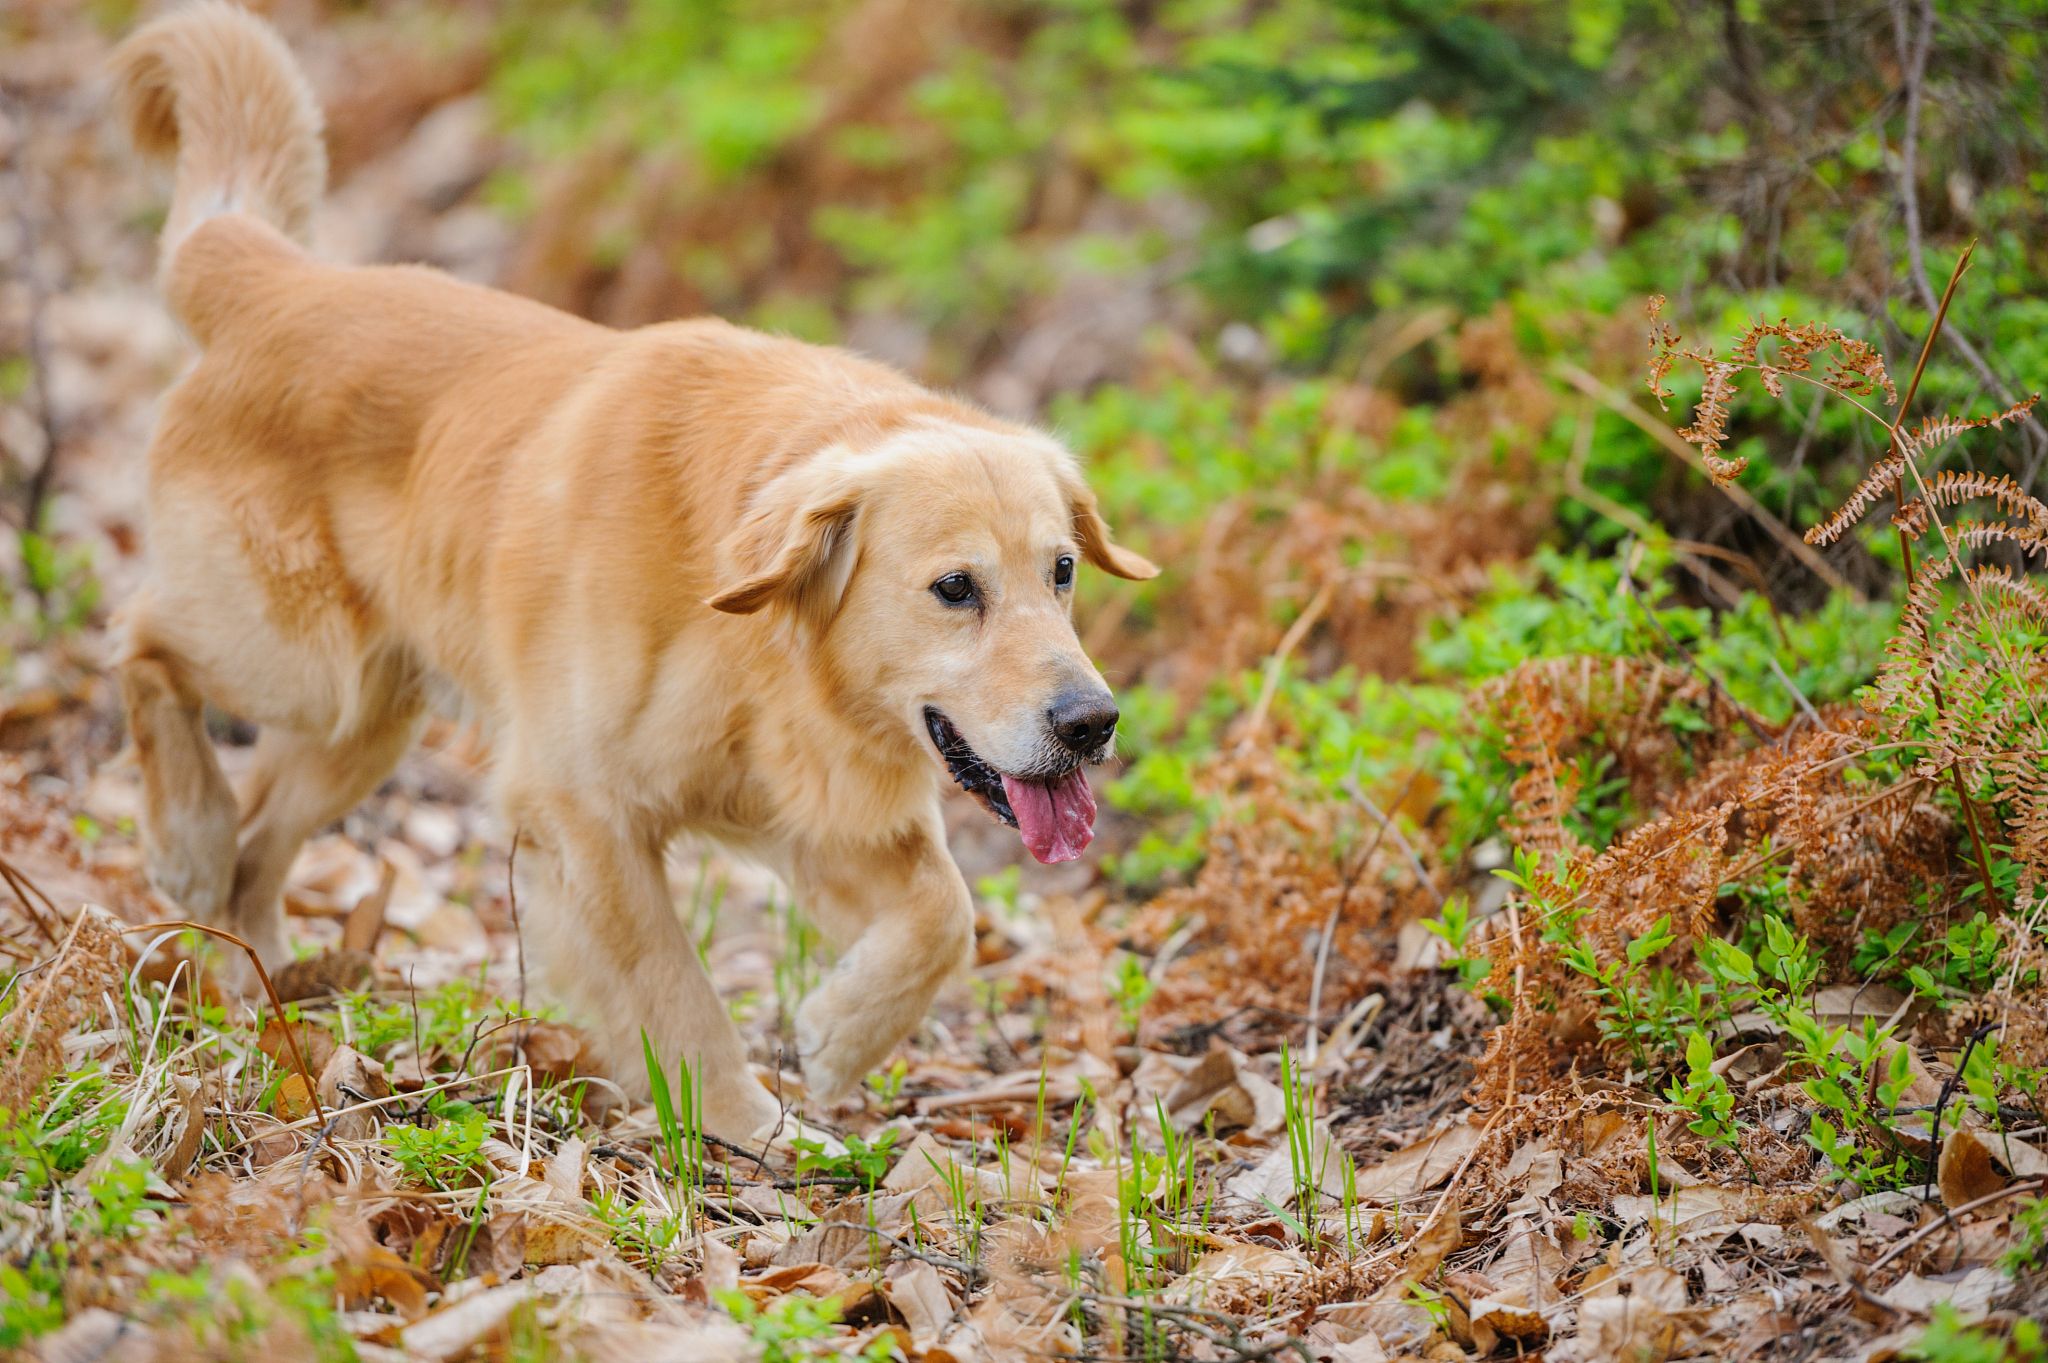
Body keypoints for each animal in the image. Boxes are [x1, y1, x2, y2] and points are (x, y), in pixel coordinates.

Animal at [108, 2, 1155, 1137]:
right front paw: (746, 1125)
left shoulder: (810, 806)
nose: (1090, 723)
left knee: (260, 842)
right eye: (955, 588)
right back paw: (189, 839)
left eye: (1062, 571)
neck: (746, 626)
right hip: (301, 660)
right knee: (142, 640)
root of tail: (277, 277)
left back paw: (255, 991)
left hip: (363, 721)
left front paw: (839, 1037)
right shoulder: (581, 806)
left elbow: (944, 912)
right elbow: (671, 986)